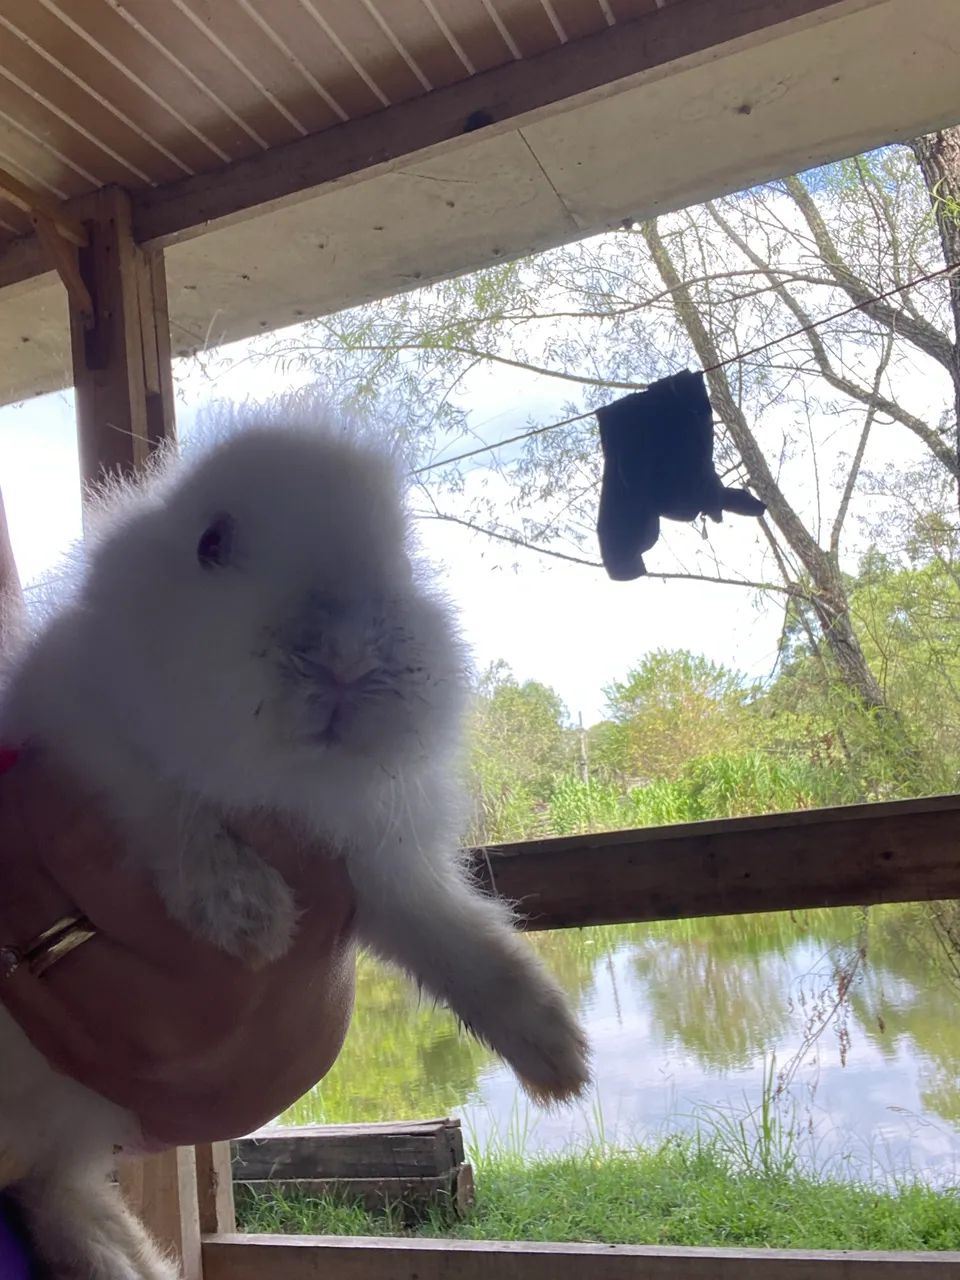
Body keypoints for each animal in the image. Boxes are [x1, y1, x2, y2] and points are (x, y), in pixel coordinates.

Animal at [0, 395, 590, 1279]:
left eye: (402, 554)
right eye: (210, 543)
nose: (346, 656)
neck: (283, 777)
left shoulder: (382, 867)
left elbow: (456, 941)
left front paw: (558, 1056)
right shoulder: (91, 748)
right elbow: (167, 809)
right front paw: (248, 917)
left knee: (54, 1189)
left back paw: (126, 1261)